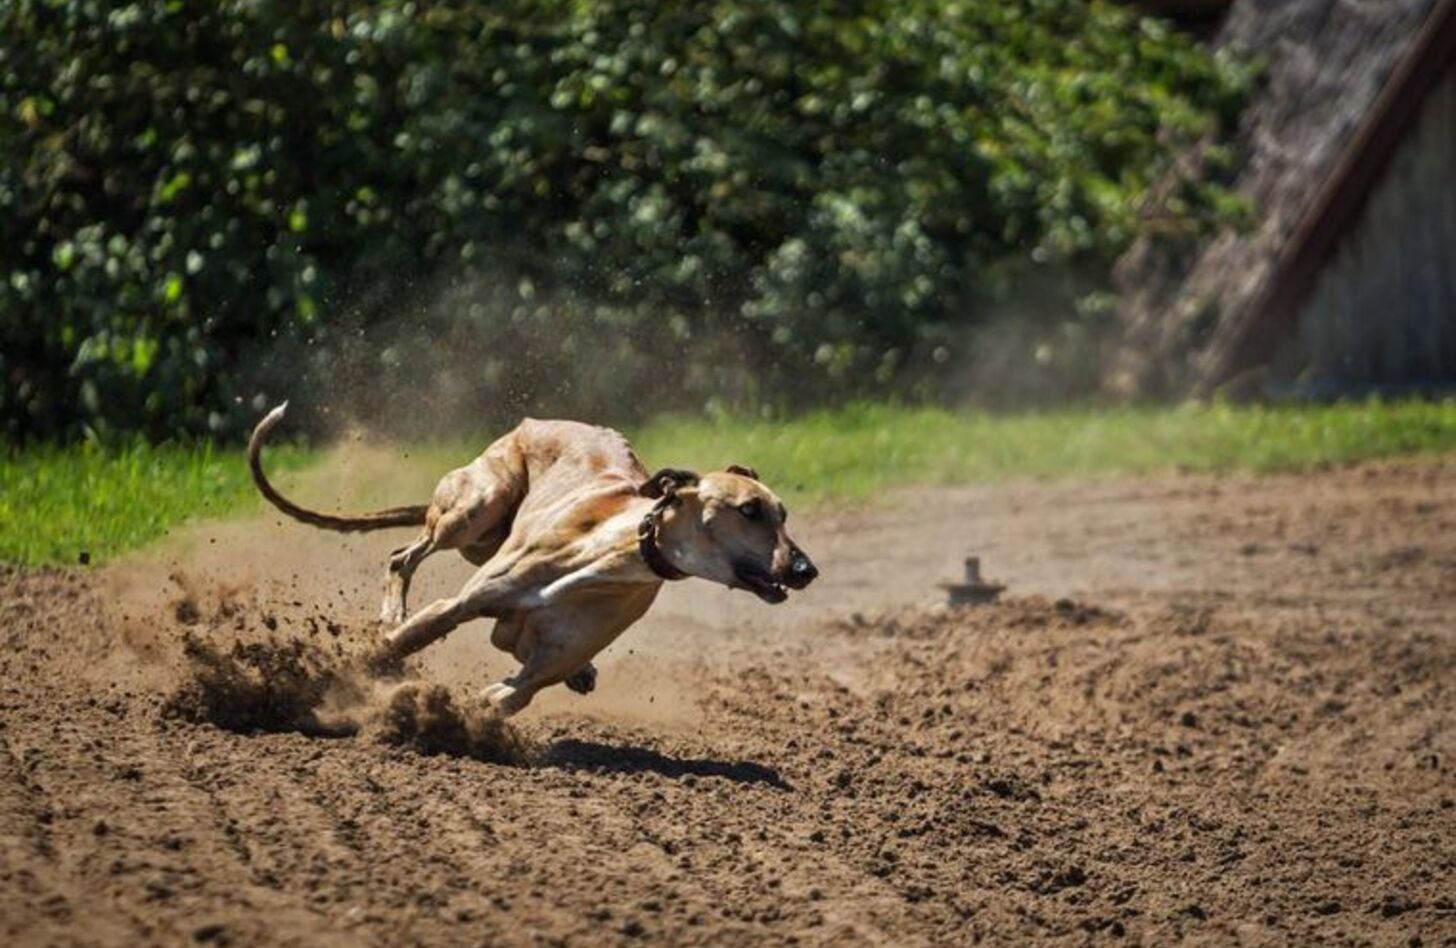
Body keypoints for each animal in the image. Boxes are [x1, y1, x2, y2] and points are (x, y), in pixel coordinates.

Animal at [250, 404, 821, 716]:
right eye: (750, 510)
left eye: (784, 514)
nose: (806, 571)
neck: (609, 553)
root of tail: (535, 421)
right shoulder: (457, 605)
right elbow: (402, 640)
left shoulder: (544, 663)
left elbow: (510, 694)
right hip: (476, 508)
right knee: (403, 556)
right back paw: (392, 612)